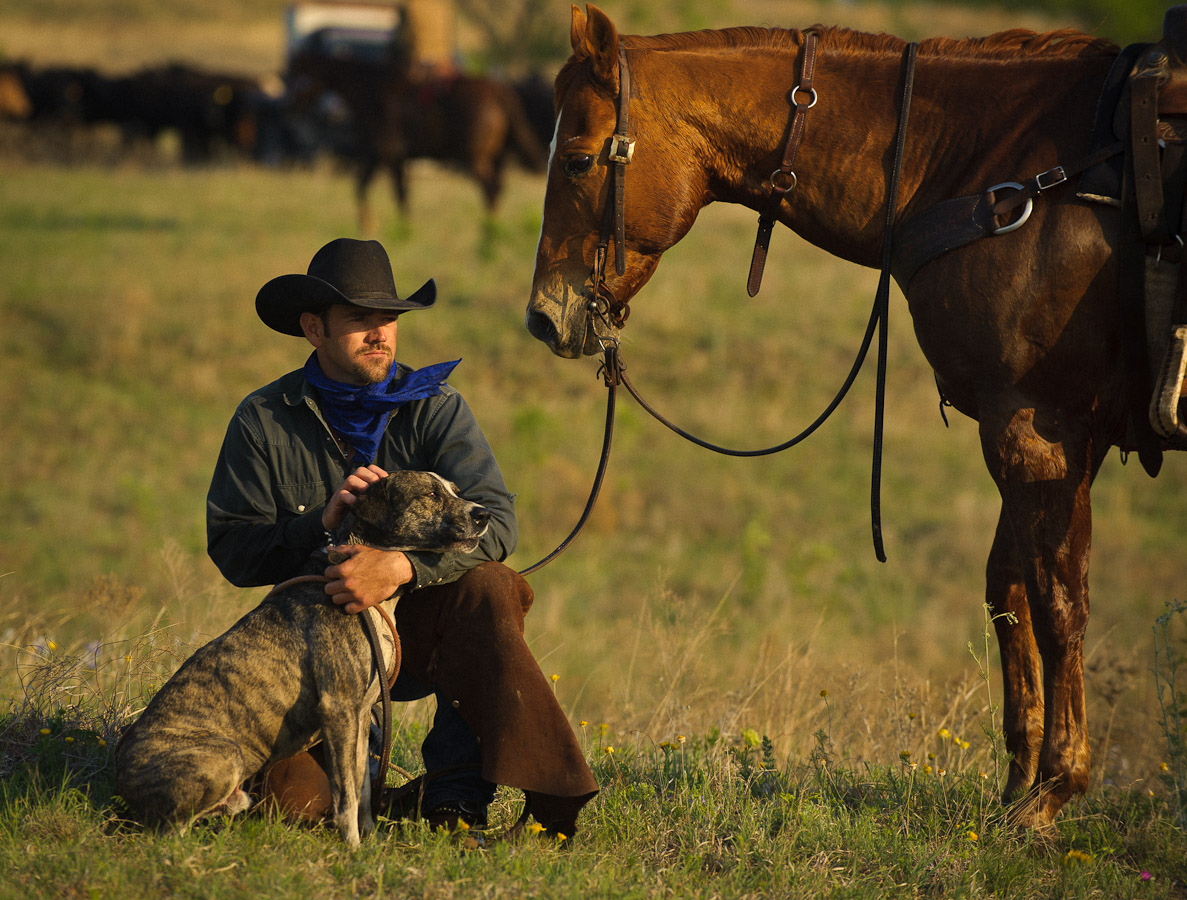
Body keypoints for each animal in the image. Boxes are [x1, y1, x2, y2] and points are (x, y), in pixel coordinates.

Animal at [114, 474, 486, 850]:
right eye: (430, 494)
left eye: (455, 490)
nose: (482, 513)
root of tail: (122, 782)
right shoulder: (338, 710)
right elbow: (345, 794)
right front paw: (353, 848)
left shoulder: (360, 717)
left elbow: (363, 788)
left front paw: (370, 839)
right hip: (225, 755)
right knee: (168, 830)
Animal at [531, 5, 1177, 831]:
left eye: (579, 160)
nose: (543, 316)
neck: (999, 170)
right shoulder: (1045, 435)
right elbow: (1008, 591)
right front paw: (1017, 783)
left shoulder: (1038, 426)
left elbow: (1057, 600)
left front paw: (1053, 789)